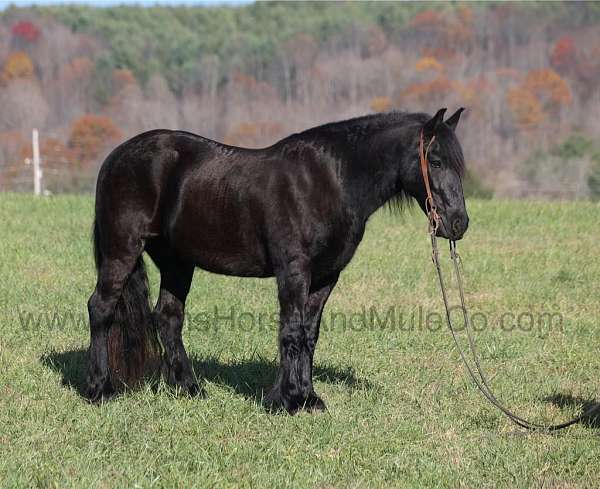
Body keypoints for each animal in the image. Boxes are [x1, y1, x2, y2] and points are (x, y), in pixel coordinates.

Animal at [85, 106, 468, 412]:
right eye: (435, 161)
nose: (458, 223)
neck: (329, 181)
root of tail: (115, 157)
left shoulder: (325, 277)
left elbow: (309, 334)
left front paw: (308, 397)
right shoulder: (294, 271)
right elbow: (292, 331)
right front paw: (287, 400)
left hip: (177, 263)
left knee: (168, 318)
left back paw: (190, 389)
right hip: (122, 251)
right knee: (101, 308)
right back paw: (100, 389)